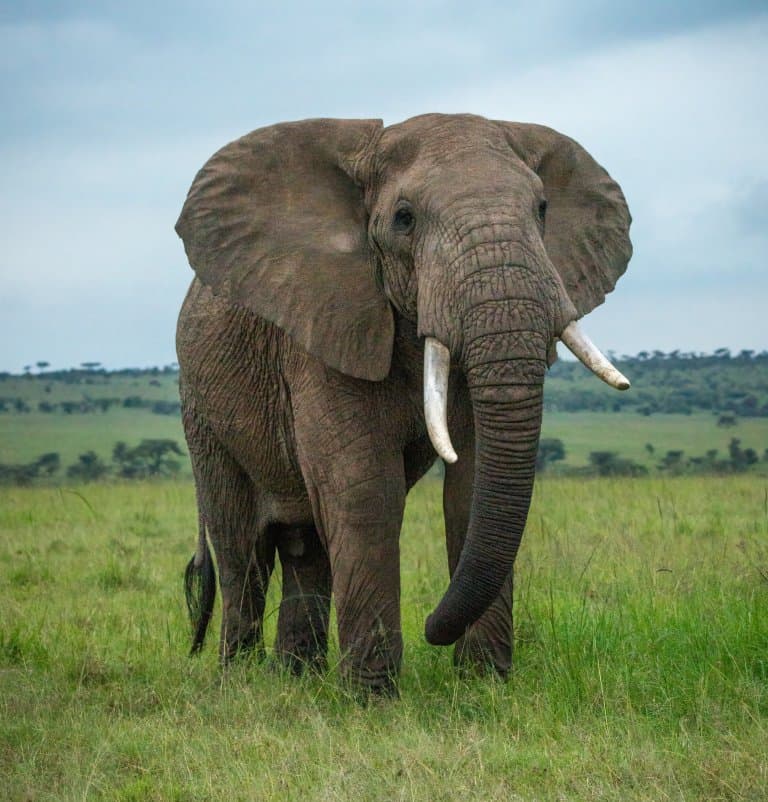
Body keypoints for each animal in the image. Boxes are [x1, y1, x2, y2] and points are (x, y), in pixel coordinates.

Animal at [175, 113, 632, 694]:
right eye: (404, 218)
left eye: (543, 209)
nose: (432, 628)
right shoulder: (327, 324)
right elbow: (366, 490)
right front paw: (373, 698)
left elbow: (472, 485)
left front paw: (484, 686)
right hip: (201, 410)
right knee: (241, 548)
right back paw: (242, 681)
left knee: (306, 546)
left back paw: (298, 680)